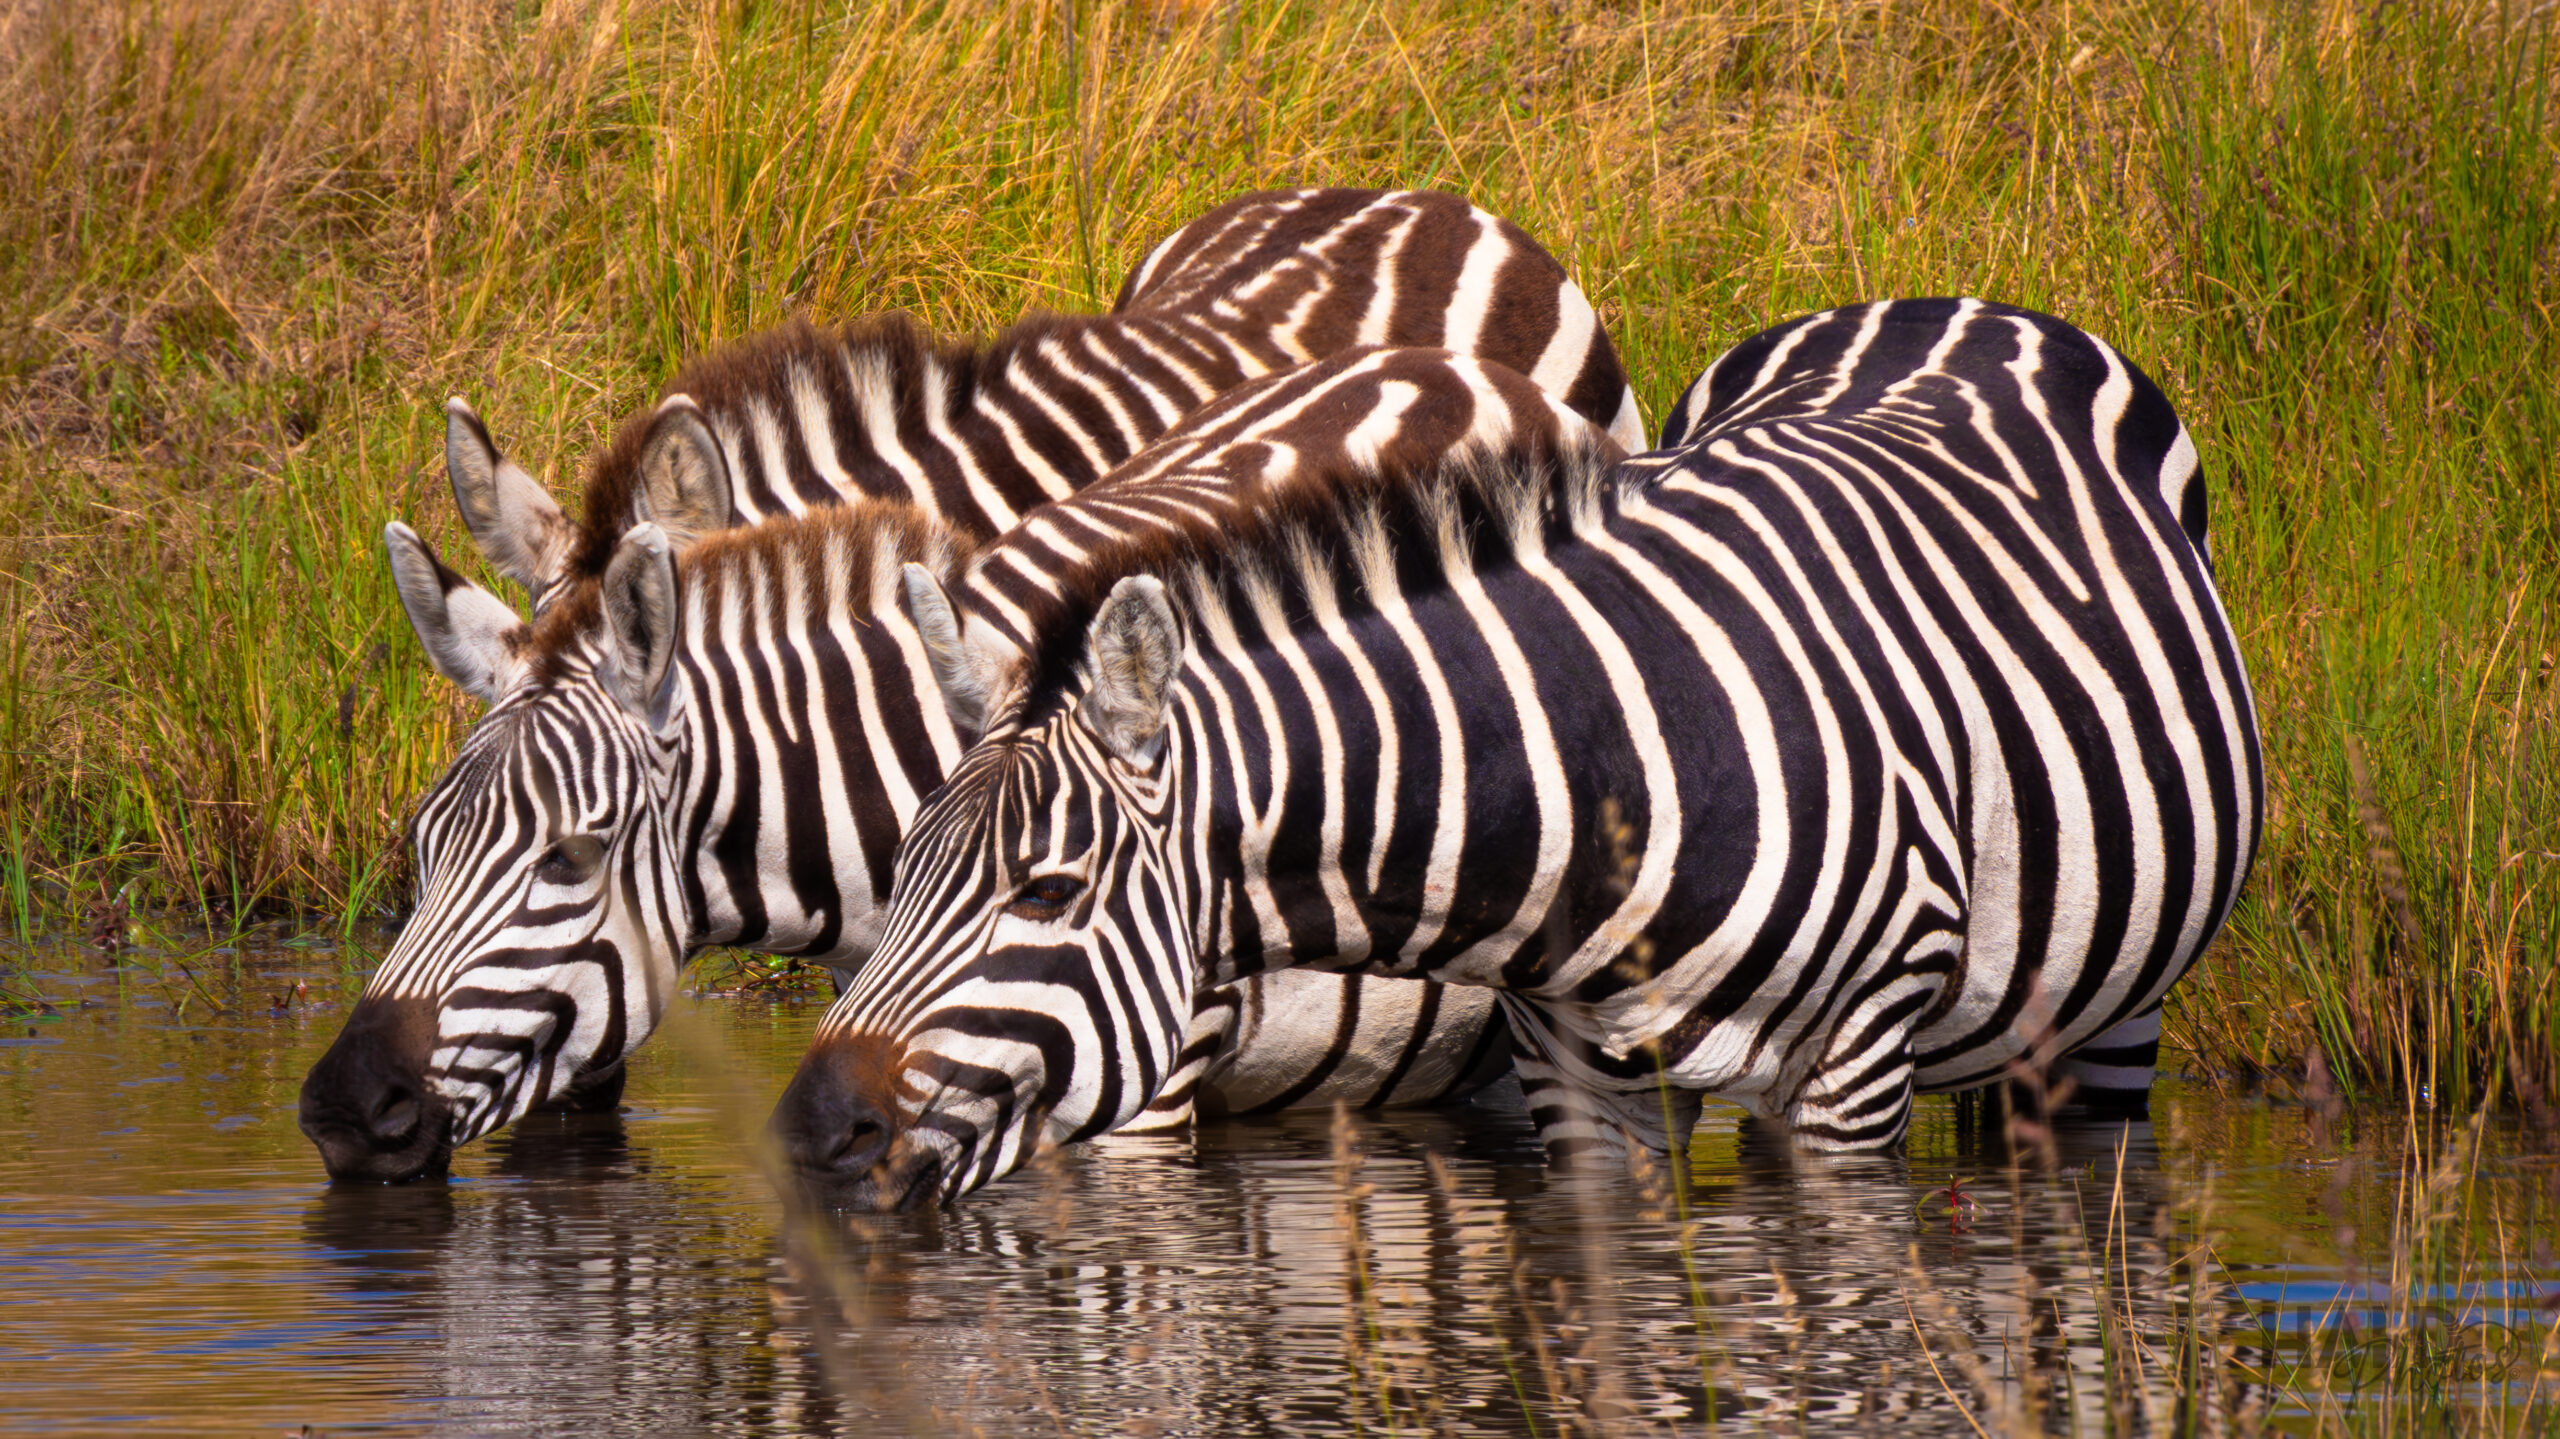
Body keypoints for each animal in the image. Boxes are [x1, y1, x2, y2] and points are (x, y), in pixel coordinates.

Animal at [771, 300, 2265, 1207]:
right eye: (898, 875)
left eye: (1048, 891)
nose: (808, 1131)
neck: (1607, 783)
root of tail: (1932, 300)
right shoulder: (1581, 1093)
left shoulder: (1851, 1075)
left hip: (2110, 1017)